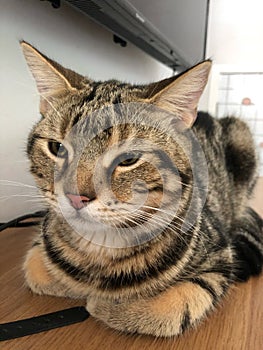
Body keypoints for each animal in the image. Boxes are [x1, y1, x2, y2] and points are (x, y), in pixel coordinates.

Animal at [21, 40, 263, 336]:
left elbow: (174, 306)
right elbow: (36, 268)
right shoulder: (40, 246)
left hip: (242, 138)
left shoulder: (219, 259)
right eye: (57, 148)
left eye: (128, 159)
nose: (76, 197)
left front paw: (108, 306)